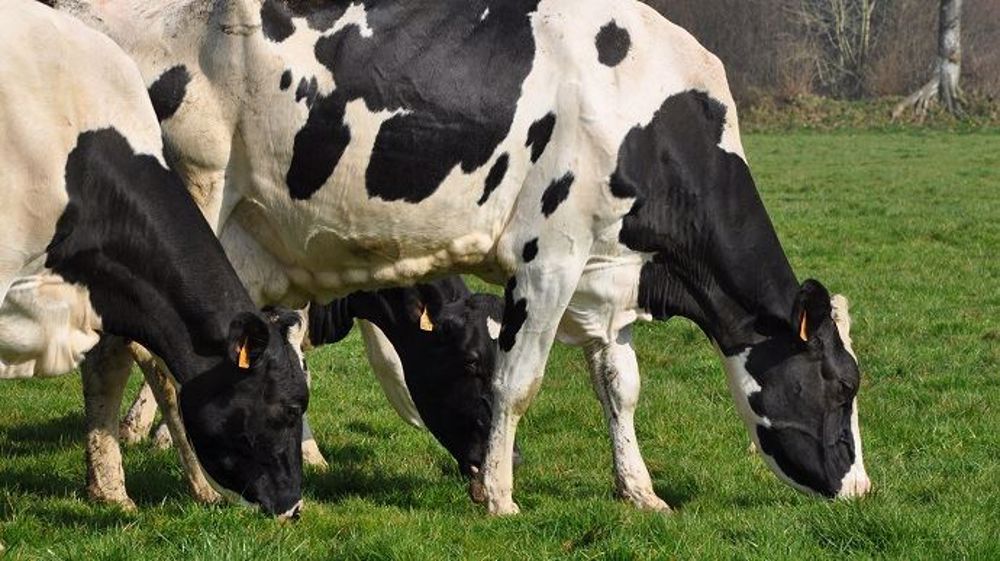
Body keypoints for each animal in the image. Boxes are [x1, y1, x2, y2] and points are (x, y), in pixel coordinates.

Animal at [54, 0, 872, 514]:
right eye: (841, 386)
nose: (861, 488)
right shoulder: (550, 255)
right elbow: (522, 381)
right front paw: (501, 498)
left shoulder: (606, 270)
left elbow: (620, 386)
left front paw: (639, 491)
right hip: (180, 216)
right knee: (146, 357)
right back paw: (170, 483)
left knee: (119, 356)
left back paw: (111, 484)